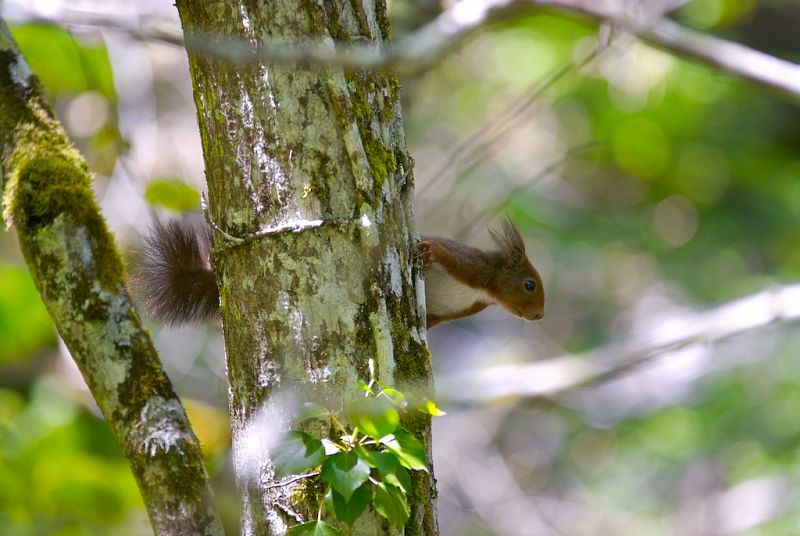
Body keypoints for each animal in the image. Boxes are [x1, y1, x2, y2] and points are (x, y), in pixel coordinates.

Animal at [130, 217, 544, 326]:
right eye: (529, 284)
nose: (540, 316)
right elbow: (446, 253)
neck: (485, 291)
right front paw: (431, 250)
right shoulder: (471, 266)